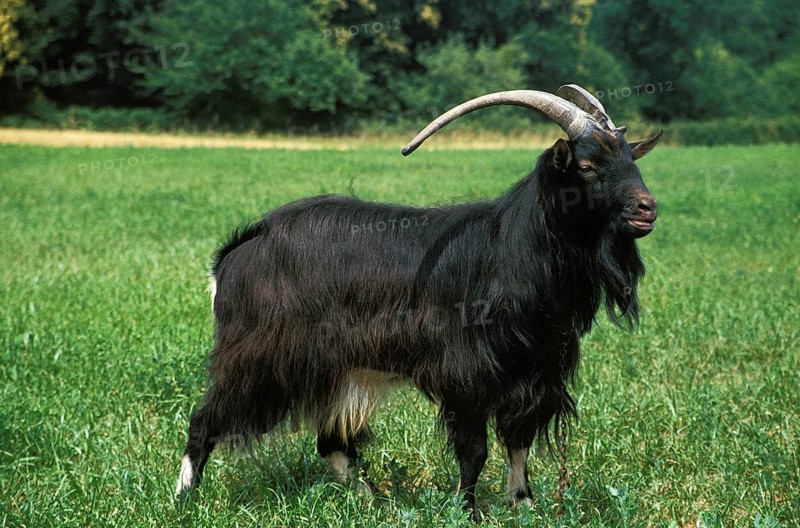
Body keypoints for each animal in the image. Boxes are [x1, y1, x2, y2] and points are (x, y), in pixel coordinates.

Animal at [175, 84, 661, 518]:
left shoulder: (534, 373)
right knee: (205, 421)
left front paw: (524, 506)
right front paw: (468, 512)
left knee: (332, 442)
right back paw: (184, 499)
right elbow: (475, 451)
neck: (510, 249)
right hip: (260, 356)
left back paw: (375, 501)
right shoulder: (467, 374)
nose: (647, 208)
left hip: (333, 366)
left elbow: (517, 442)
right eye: (588, 164)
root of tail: (236, 253)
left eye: (630, 158)